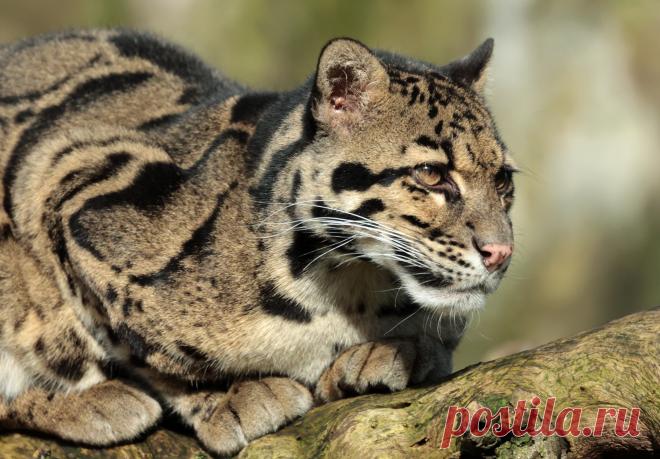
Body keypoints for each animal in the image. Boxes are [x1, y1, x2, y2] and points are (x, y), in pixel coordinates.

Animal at [0, 29, 515, 456]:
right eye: (430, 174)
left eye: (504, 180)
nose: (501, 253)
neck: (345, 288)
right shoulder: (62, 173)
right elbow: (148, 351)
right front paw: (232, 393)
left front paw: (400, 349)